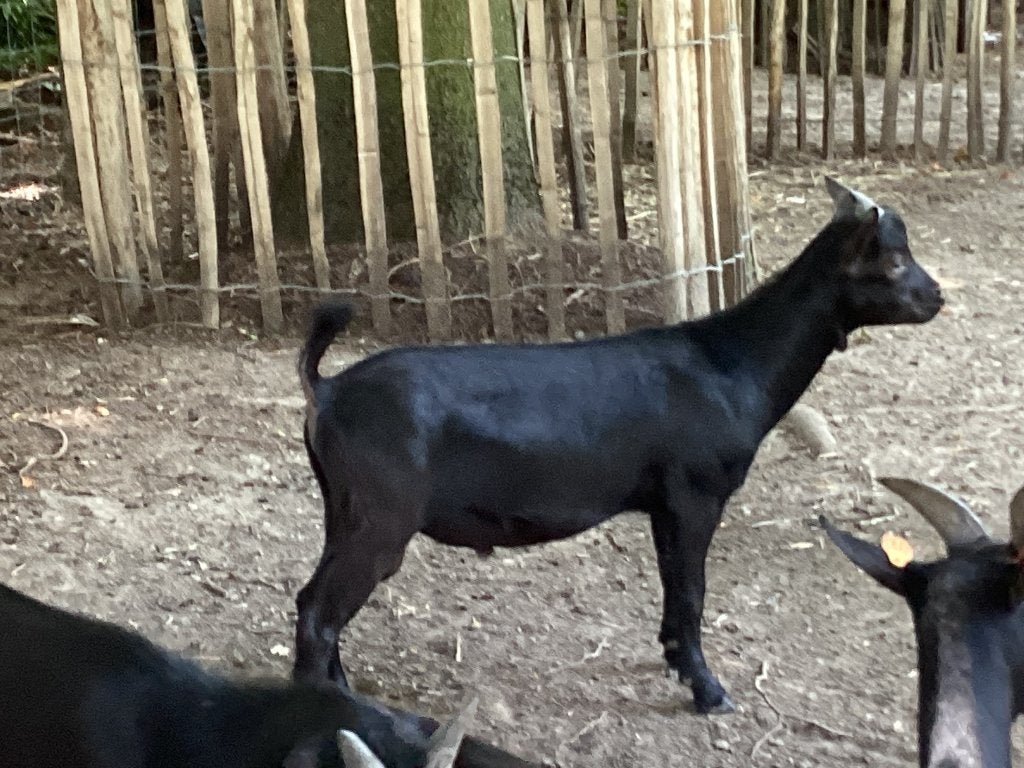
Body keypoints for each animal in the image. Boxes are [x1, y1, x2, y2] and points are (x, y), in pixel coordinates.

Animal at [294, 177, 943, 714]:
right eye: (894, 259)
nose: (937, 297)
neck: (730, 363)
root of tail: (327, 390)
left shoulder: (662, 505)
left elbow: (673, 589)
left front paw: (678, 661)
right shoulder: (695, 495)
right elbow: (691, 591)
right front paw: (707, 689)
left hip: (343, 511)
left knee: (310, 601)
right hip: (383, 516)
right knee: (319, 614)